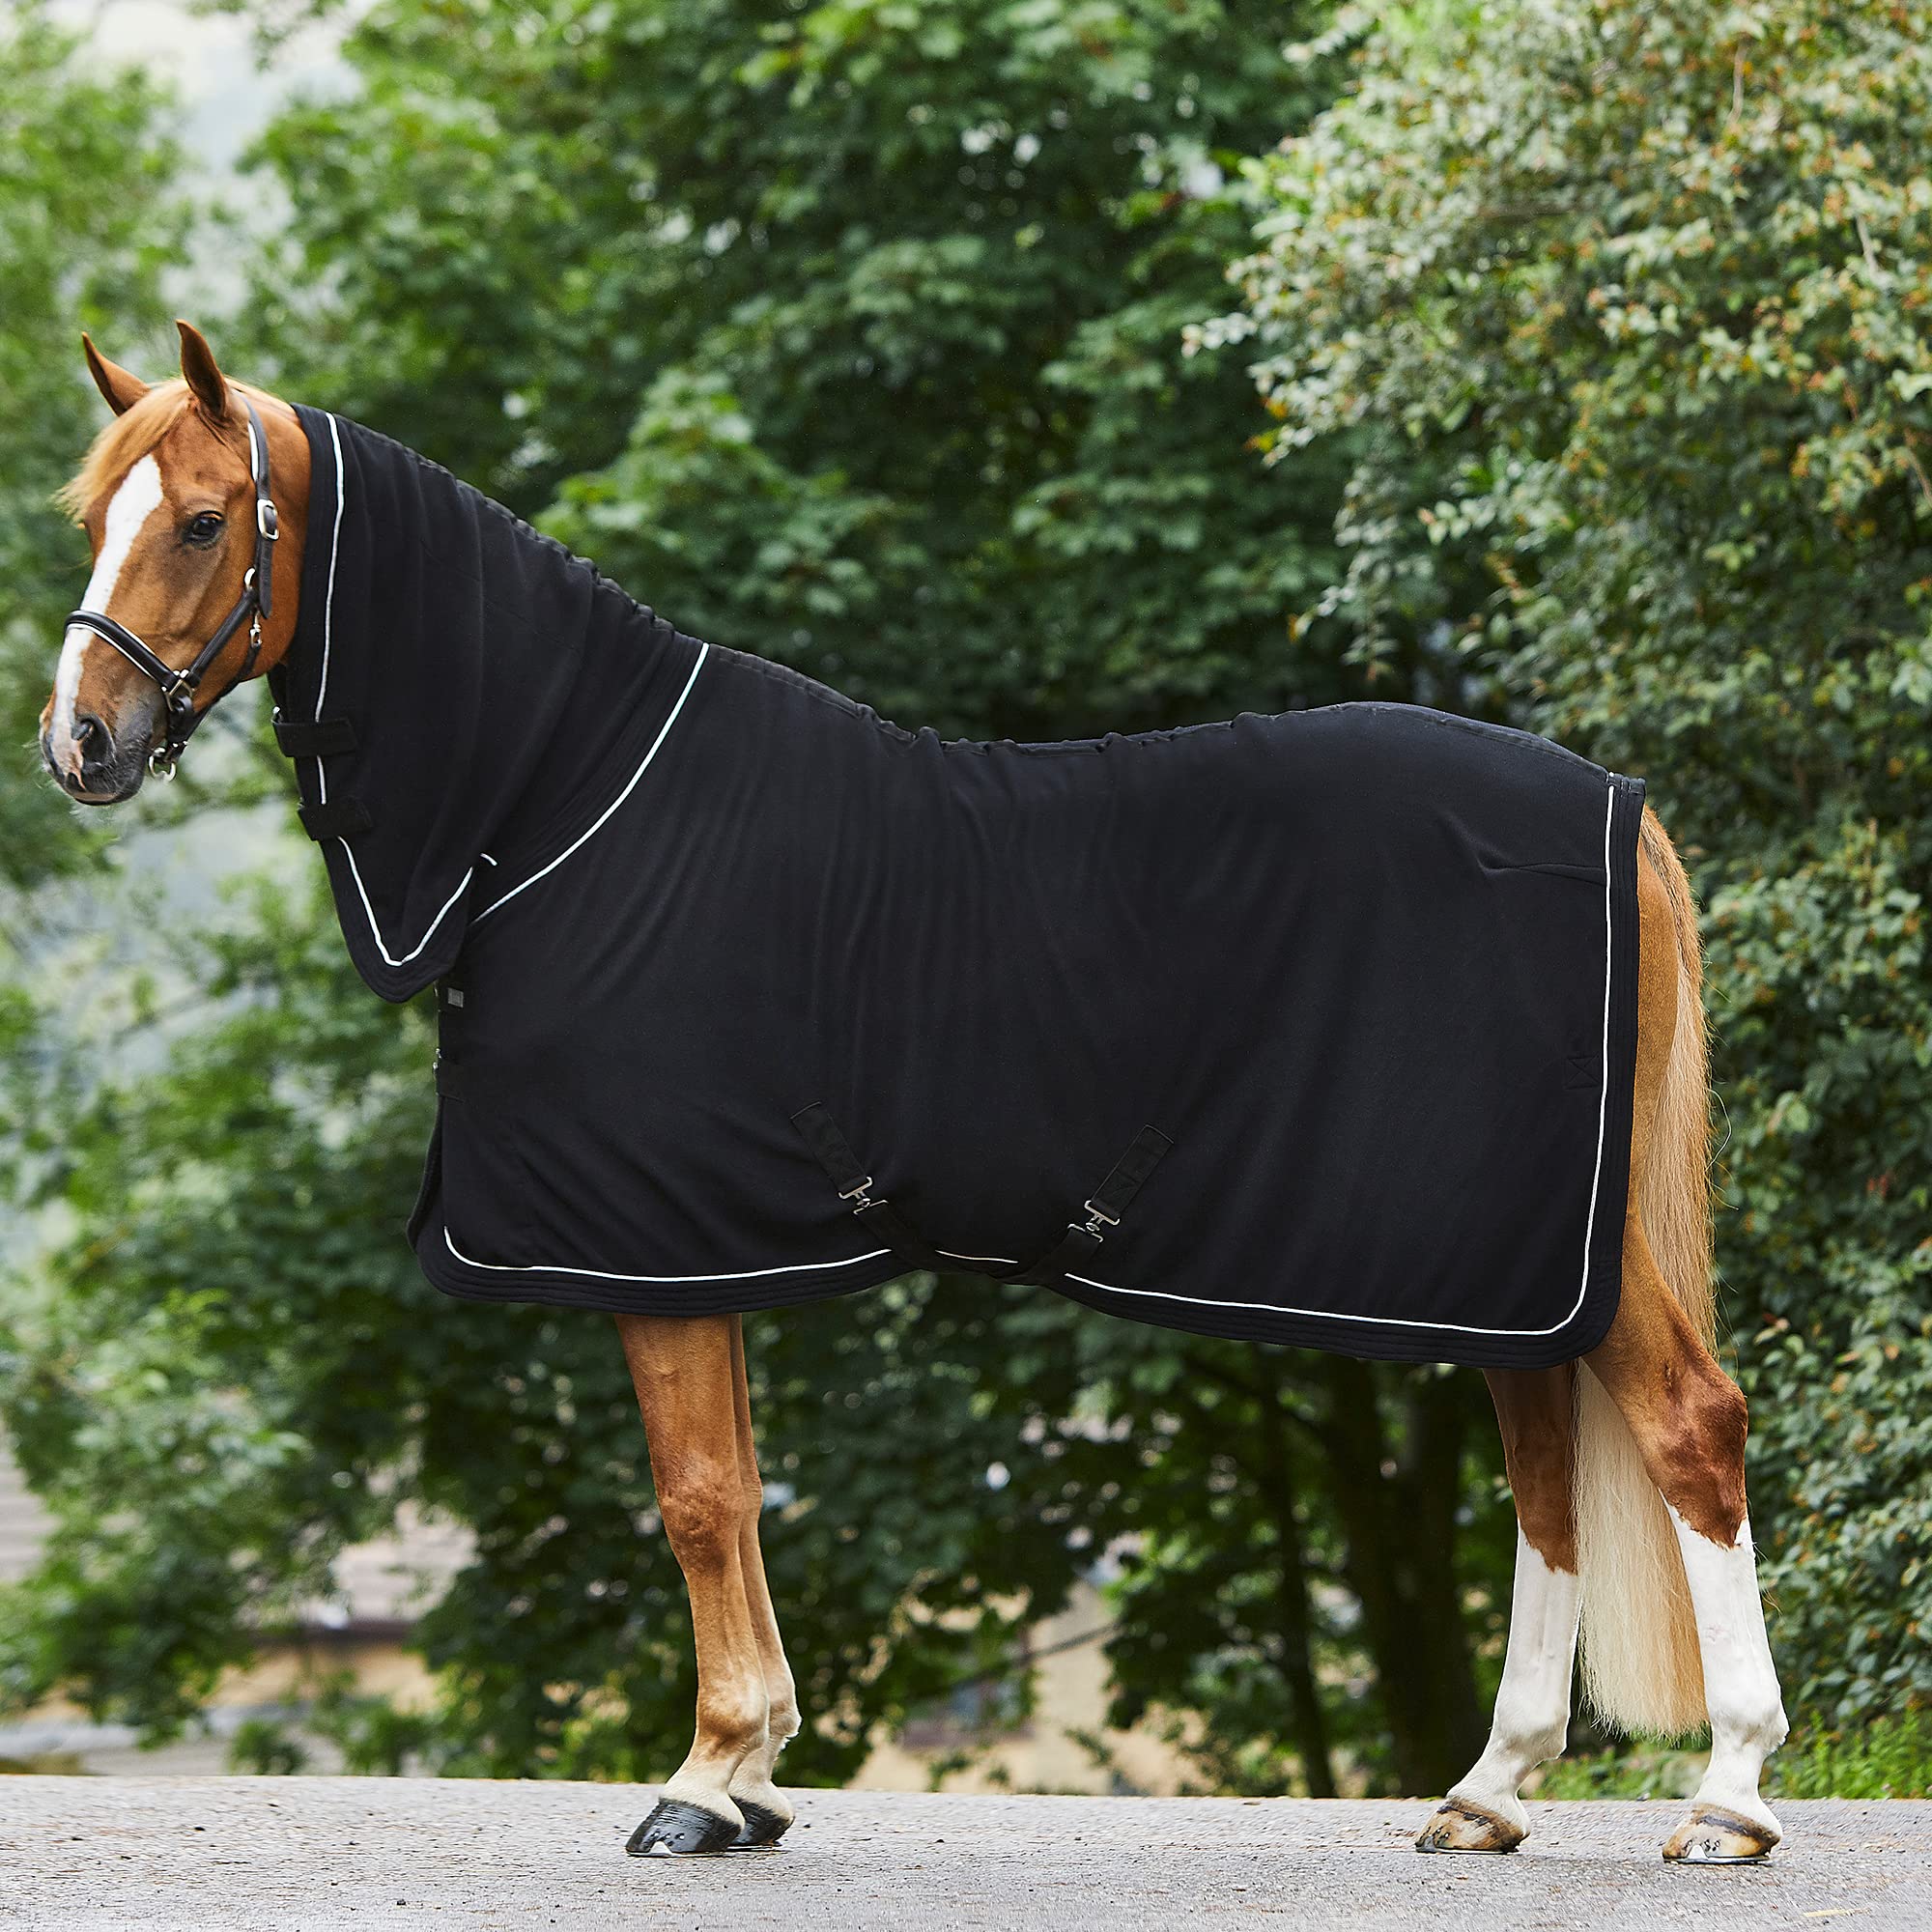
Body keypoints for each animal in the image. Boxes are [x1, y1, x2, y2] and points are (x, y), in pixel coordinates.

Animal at [41, 323, 1788, 1864]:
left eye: (201, 520)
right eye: (90, 517)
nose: (80, 744)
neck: (569, 804)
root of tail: (1616, 811)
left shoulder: (650, 1240)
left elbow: (694, 1498)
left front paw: (704, 1782)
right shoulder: (702, 1246)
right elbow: (740, 1493)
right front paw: (754, 1773)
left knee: (1690, 1428)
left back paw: (1728, 1799)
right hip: (1497, 1260)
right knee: (1549, 1476)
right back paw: (1488, 1793)